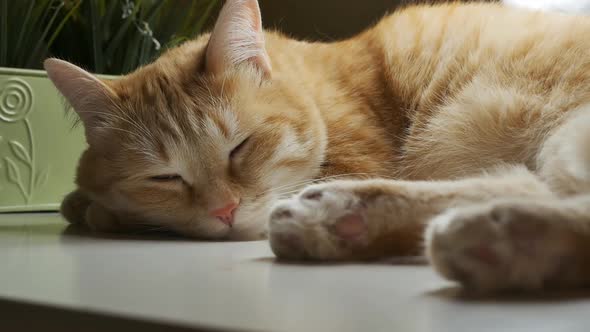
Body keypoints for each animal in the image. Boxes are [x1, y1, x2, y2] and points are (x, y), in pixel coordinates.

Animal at [47, 0, 590, 292]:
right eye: (165, 176)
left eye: (240, 147)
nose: (225, 210)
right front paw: (83, 202)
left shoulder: (358, 159)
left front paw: (99, 210)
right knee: (519, 184)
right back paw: (347, 221)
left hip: (564, 135)